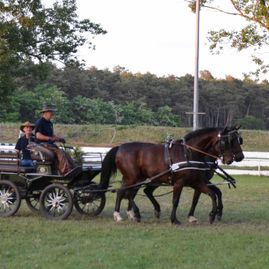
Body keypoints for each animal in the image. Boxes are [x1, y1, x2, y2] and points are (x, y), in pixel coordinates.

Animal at [98, 126, 243, 223]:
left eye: (239, 140)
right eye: (227, 141)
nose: (239, 157)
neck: (189, 153)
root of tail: (120, 147)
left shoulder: (196, 182)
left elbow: (212, 194)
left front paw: (213, 214)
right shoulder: (180, 182)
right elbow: (176, 200)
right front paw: (174, 219)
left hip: (138, 178)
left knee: (128, 192)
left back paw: (129, 214)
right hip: (132, 178)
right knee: (126, 192)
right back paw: (126, 214)